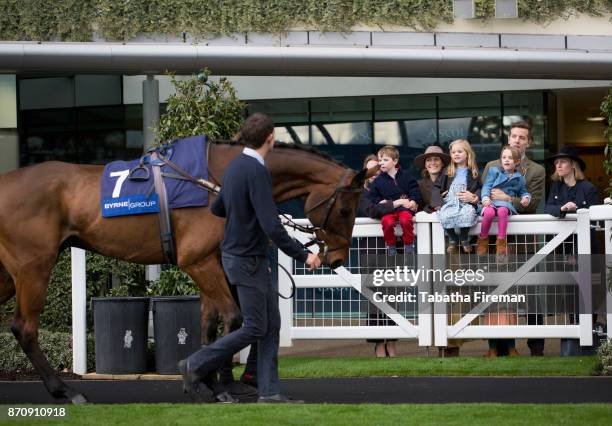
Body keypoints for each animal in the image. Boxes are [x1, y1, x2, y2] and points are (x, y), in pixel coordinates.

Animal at [0, 141, 372, 402]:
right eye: (345, 208)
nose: (336, 258)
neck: (218, 178)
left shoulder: (211, 260)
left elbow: (209, 322)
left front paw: (206, 379)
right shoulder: (197, 260)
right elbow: (232, 317)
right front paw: (215, 384)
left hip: (9, 273)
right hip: (34, 267)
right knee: (25, 328)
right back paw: (66, 390)